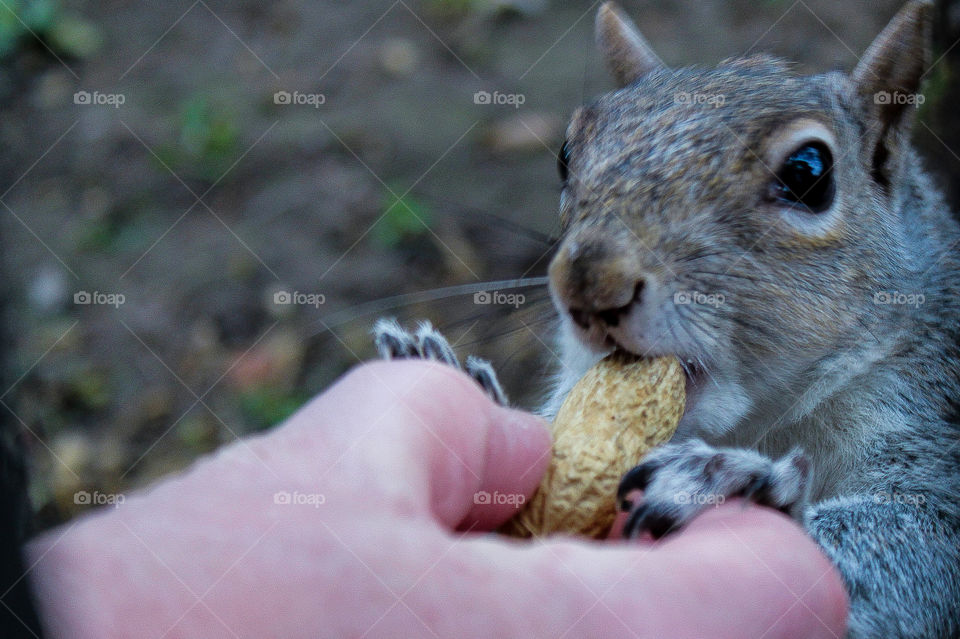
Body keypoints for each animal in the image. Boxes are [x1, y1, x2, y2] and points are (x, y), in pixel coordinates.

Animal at [376, 2, 960, 636]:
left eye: (809, 172)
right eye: (565, 154)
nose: (588, 283)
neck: (761, 421)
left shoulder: (927, 413)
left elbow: (924, 546)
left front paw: (738, 484)